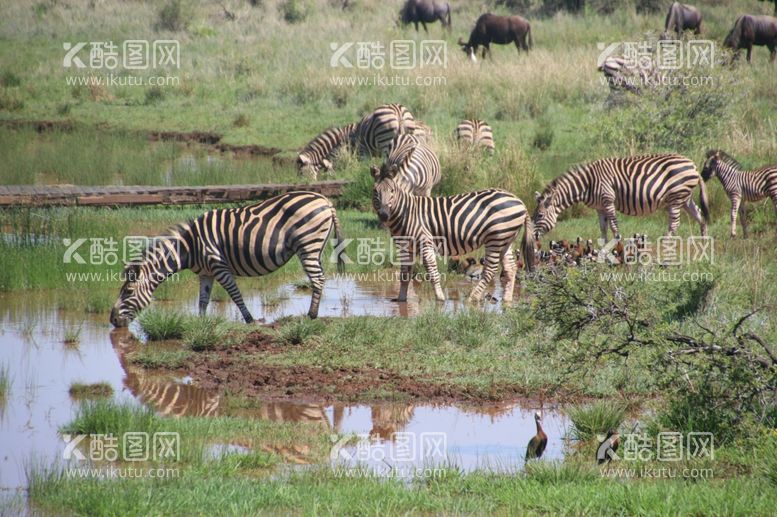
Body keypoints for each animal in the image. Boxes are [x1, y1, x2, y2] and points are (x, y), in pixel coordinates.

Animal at [109, 191, 342, 324]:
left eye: (128, 291)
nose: (112, 320)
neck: (190, 247)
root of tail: (324, 200)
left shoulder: (219, 266)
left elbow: (235, 294)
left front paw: (249, 320)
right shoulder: (205, 273)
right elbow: (203, 299)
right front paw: (201, 323)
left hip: (308, 243)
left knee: (317, 279)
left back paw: (311, 315)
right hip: (316, 246)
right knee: (319, 277)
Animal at [370, 167, 532, 302]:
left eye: (392, 191)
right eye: (375, 192)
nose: (384, 215)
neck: (406, 213)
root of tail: (520, 202)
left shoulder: (425, 241)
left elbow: (432, 271)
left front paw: (440, 298)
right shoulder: (406, 247)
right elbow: (404, 275)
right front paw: (401, 300)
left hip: (495, 238)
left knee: (490, 270)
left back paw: (473, 298)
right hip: (506, 239)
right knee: (511, 268)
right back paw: (507, 300)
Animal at [532, 153, 708, 240]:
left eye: (539, 215)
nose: (532, 237)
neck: (588, 183)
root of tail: (693, 165)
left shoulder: (608, 201)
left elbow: (614, 227)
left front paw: (618, 250)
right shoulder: (599, 208)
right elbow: (603, 229)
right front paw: (602, 252)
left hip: (676, 197)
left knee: (674, 224)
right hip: (685, 198)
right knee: (700, 216)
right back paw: (704, 248)